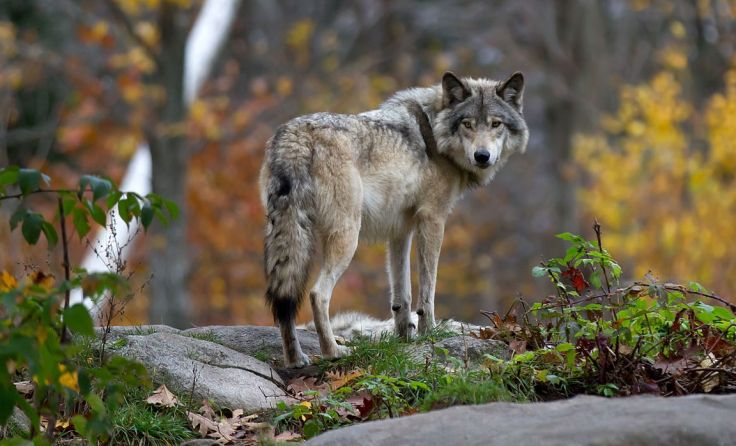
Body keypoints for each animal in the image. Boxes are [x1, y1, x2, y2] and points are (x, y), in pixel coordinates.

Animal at [260, 71, 529, 367]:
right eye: (467, 124)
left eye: (495, 124)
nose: (482, 156)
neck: (434, 133)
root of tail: (295, 136)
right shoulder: (433, 219)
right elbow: (427, 290)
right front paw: (428, 333)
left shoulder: (400, 230)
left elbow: (402, 294)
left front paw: (405, 338)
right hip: (347, 237)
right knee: (318, 294)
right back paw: (333, 352)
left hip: (288, 235)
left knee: (284, 300)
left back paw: (296, 359)